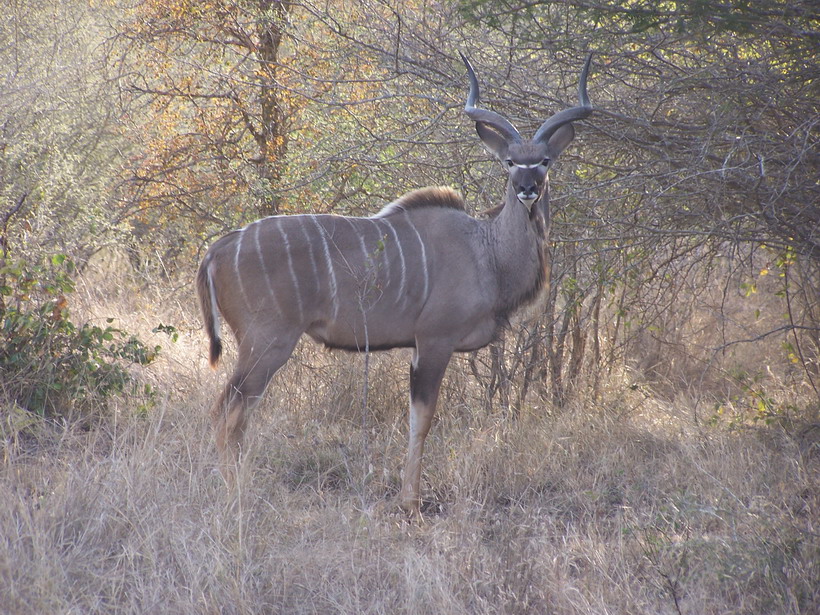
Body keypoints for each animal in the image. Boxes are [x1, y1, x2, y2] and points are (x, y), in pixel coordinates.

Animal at [200, 53, 596, 516]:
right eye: (510, 162)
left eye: (545, 161)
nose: (527, 189)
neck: (486, 250)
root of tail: (219, 249)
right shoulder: (434, 341)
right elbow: (421, 422)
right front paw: (411, 503)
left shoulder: (417, 348)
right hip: (268, 342)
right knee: (227, 412)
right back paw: (235, 494)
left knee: (235, 413)